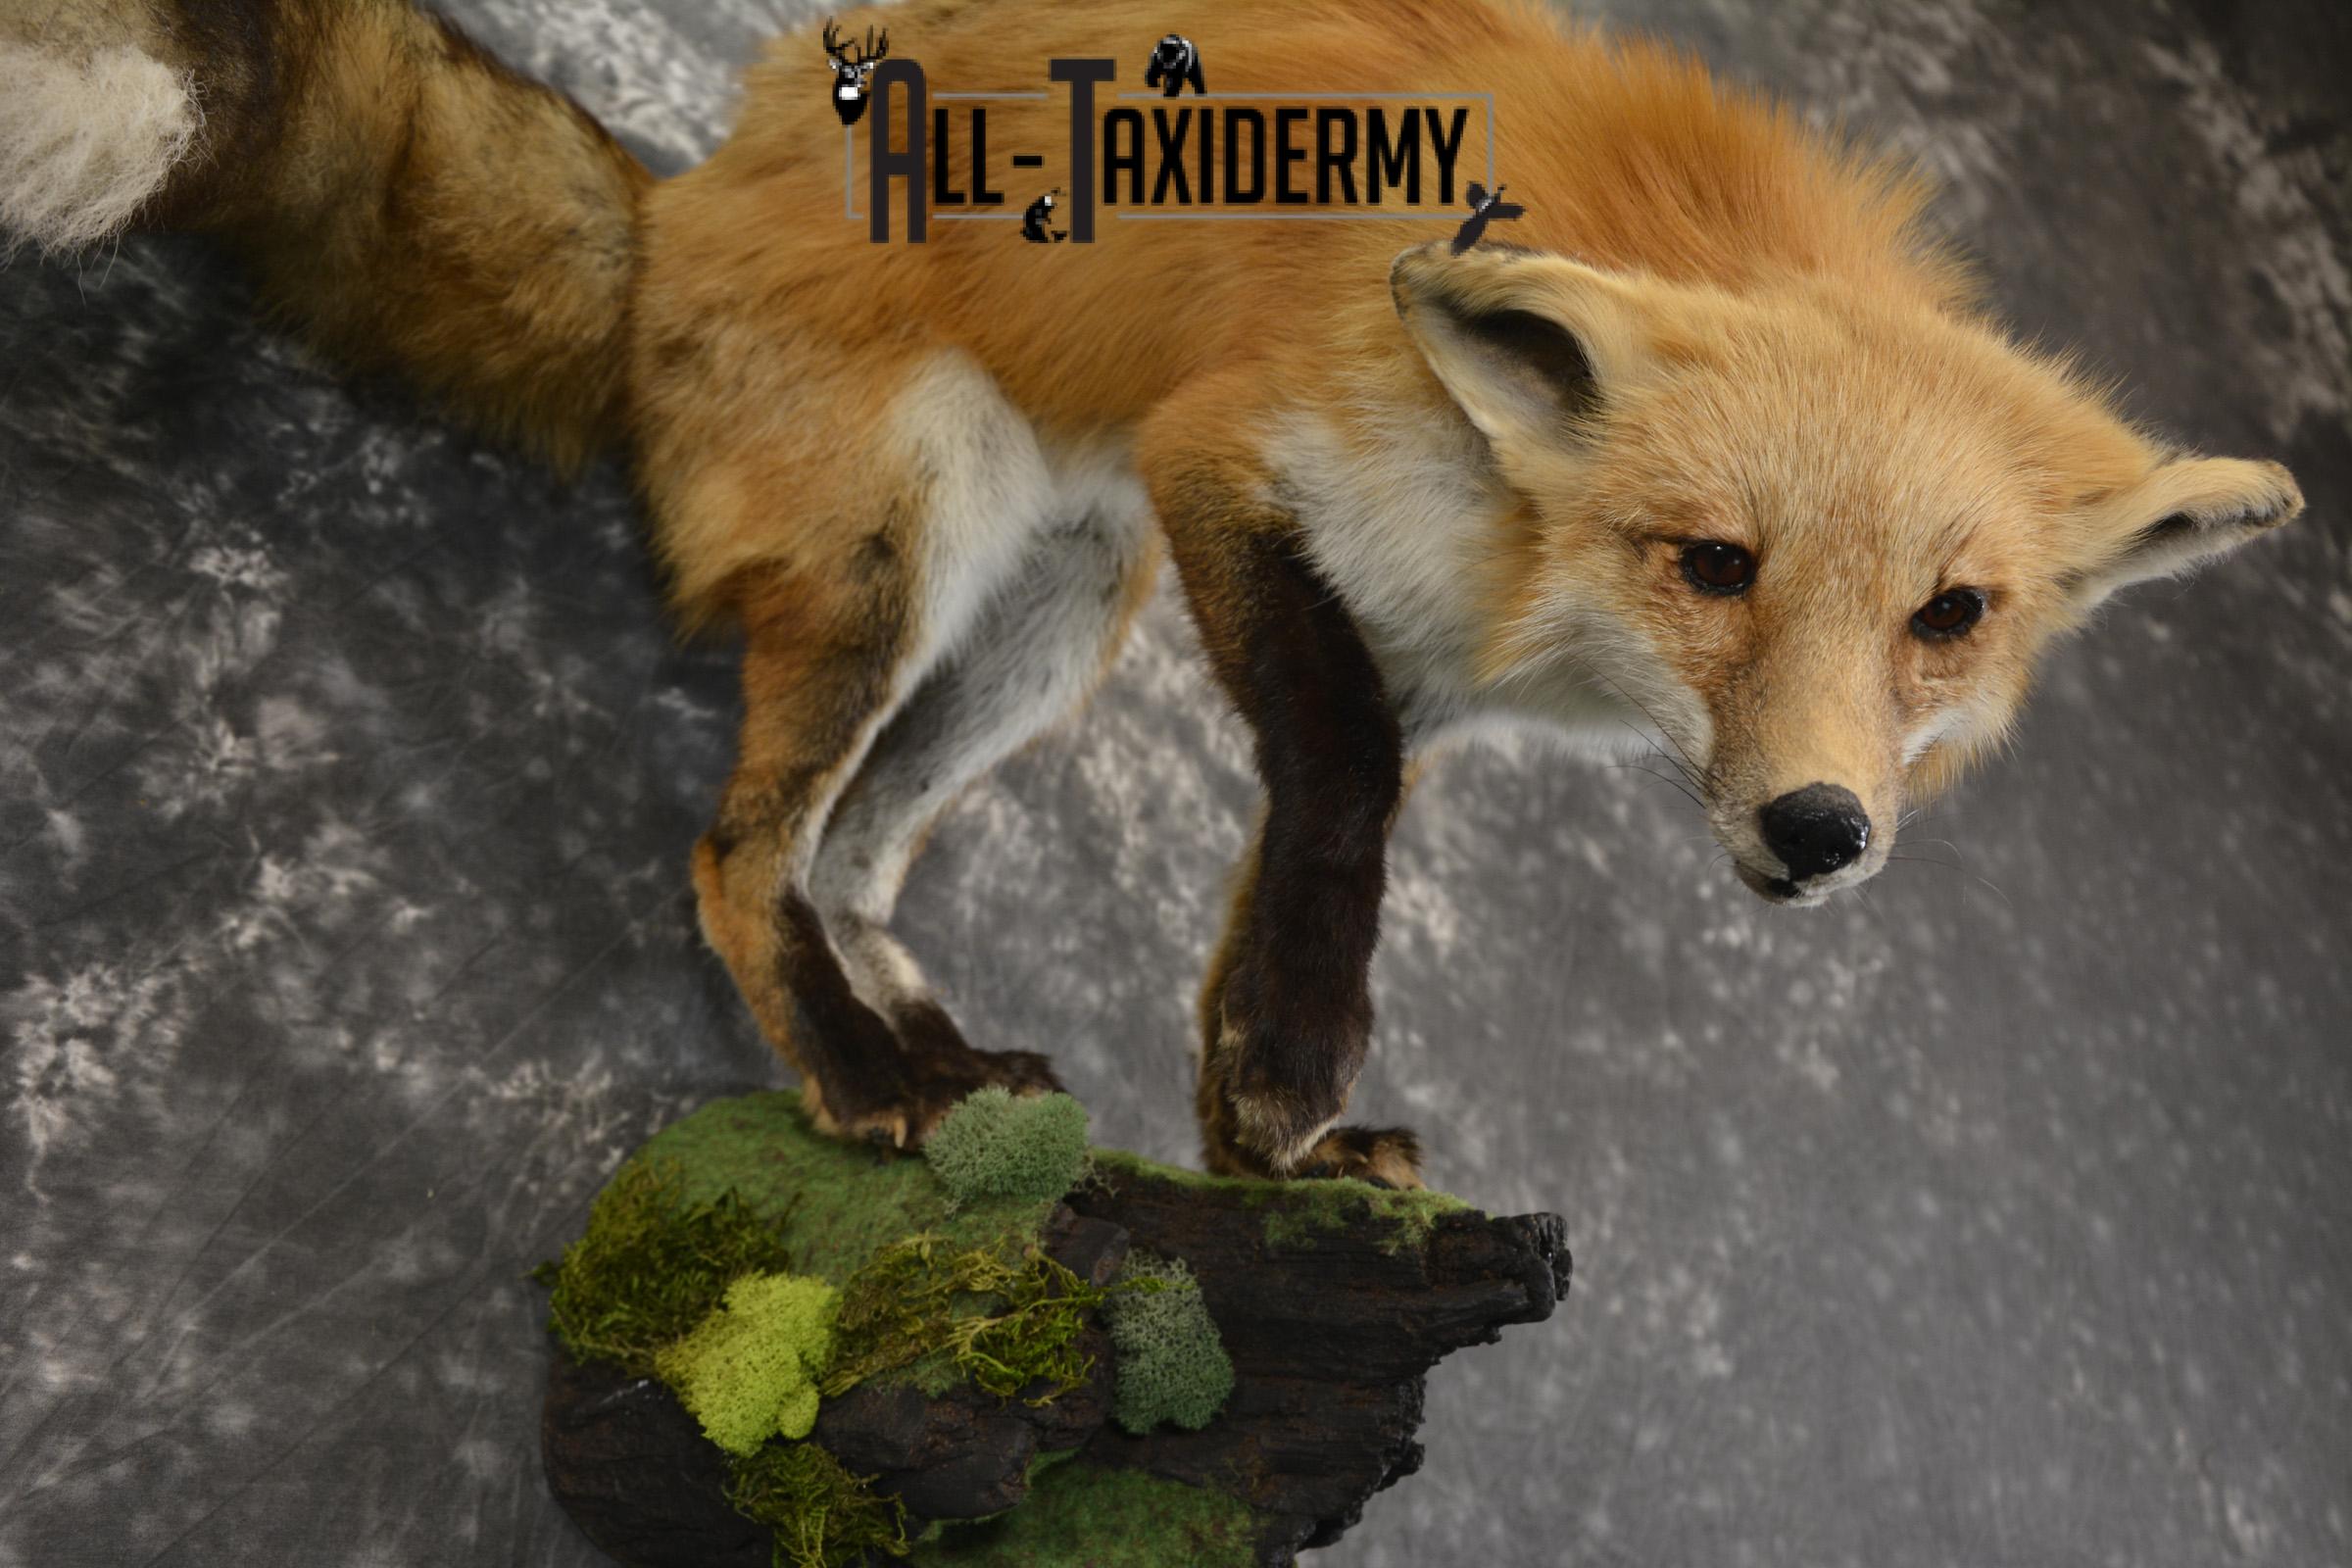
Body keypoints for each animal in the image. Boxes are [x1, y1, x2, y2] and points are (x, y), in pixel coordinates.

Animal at [0, 0, 2306, 1190]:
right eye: (1716, 565)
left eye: (1950, 619)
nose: (1822, 832)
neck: (1526, 581)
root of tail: (679, 210)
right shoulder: (1239, 459)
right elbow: (1340, 789)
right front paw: (1285, 1067)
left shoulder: (1384, 637)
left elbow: (1309, 827)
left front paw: (1262, 1116)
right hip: (910, 546)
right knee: (737, 857)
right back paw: (857, 1081)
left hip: (1059, 629)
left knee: (854, 859)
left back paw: (935, 1048)